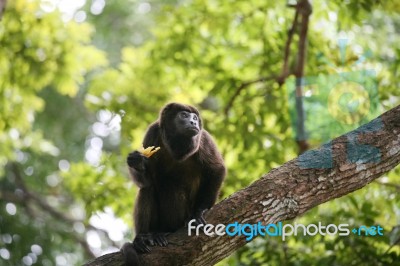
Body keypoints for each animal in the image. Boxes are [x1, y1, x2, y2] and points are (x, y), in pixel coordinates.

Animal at [122, 102, 227, 264]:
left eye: (195, 117)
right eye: (184, 115)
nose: (194, 122)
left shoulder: (204, 138)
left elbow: (216, 169)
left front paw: (199, 212)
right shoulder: (152, 133)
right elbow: (147, 180)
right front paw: (137, 161)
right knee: (147, 189)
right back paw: (145, 237)